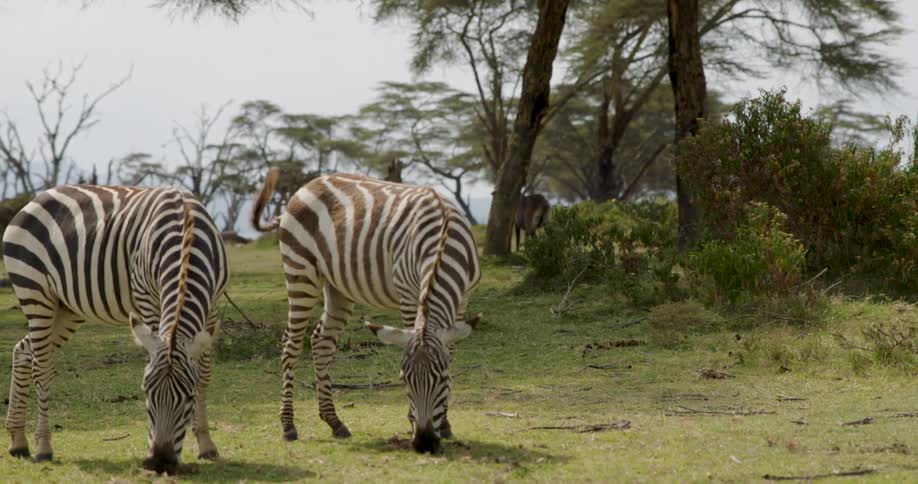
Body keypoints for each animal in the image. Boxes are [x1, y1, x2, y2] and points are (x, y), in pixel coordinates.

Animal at [2, 185, 228, 474]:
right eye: (146, 393)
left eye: (188, 396)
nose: (160, 462)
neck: (186, 236)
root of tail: (36, 199)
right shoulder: (146, 299)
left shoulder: (212, 307)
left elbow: (205, 375)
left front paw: (206, 444)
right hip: (35, 292)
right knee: (41, 368)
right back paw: (43, 447)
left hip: (66, 309)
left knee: (22, 350)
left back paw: (18, 441)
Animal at [250, 169, 481, 454]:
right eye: (404, 380)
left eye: (442, 378)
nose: (424, 442)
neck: (442, 236)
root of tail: (306, 186)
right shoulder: (408, 293)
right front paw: (415, 421)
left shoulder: (463, 300)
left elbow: (450, 350)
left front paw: (446, 423)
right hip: (300, 271)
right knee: (291, 344)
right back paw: (288, 425)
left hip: (338, 287)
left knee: (321, 342)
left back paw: (334, 422)